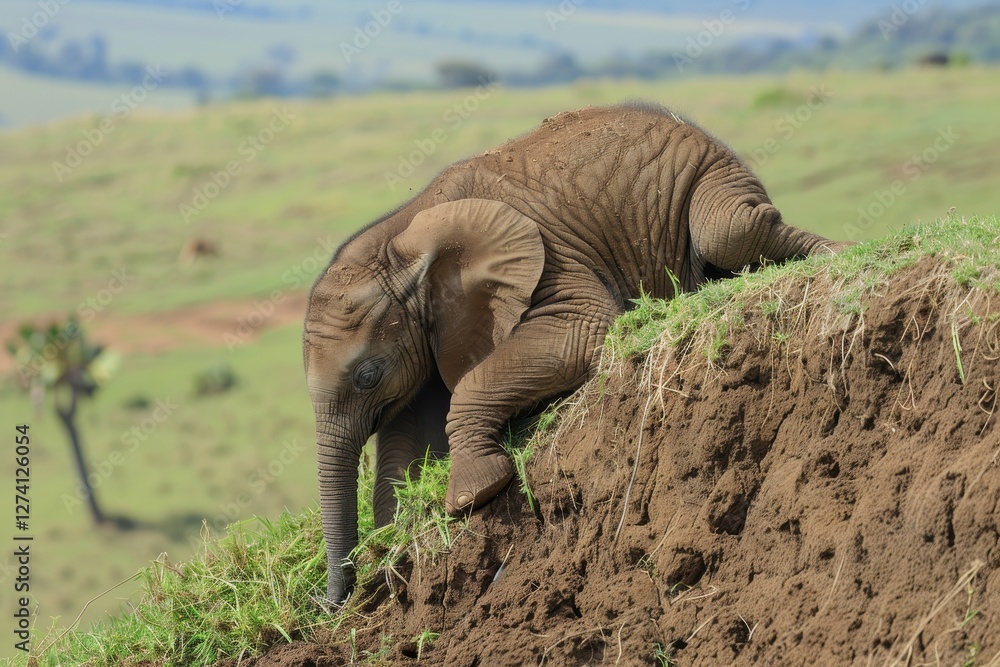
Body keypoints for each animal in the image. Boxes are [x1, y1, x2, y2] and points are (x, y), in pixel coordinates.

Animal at [304, 102, 848, 605]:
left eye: (368, 375)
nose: (334, 603)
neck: (398, 238)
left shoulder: (548, 257)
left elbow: (582, 332)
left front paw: (471, 495)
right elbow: (406, 435)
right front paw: (395, 539)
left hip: (711, 175)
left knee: (732, 229)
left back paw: (836, 253)